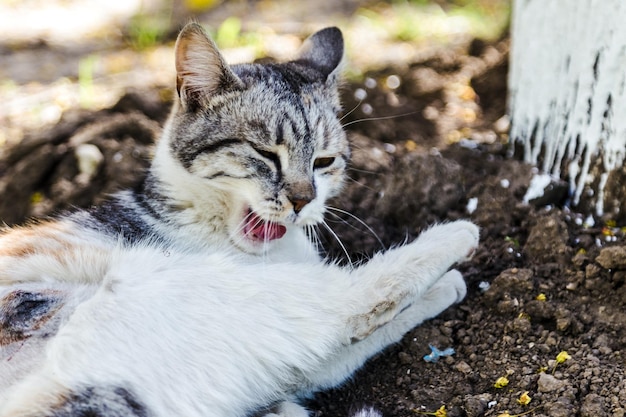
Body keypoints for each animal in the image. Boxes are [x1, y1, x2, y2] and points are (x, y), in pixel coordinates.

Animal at [0, 23, 478, 416]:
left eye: (324, 162)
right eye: (265, 153)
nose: (304, 199)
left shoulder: (290, 368)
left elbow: (348, 349)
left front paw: (441, 291)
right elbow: (361, 319)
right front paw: (449, 275)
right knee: (351, 300)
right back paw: (458, 235)